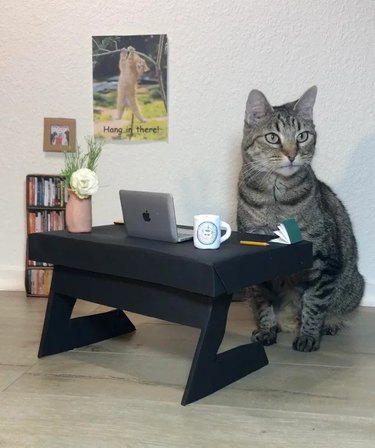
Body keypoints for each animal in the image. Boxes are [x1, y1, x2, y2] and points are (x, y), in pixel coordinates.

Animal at [238, 86, 364, 350]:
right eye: (273, 138)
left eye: (303, 136)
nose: (292, 154)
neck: (276, 199)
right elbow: (263, 301)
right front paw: (266, 330)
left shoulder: (323, 258)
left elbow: (314, 303)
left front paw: (308, 336)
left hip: (353, 287)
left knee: (335, 309)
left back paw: (328, 324)